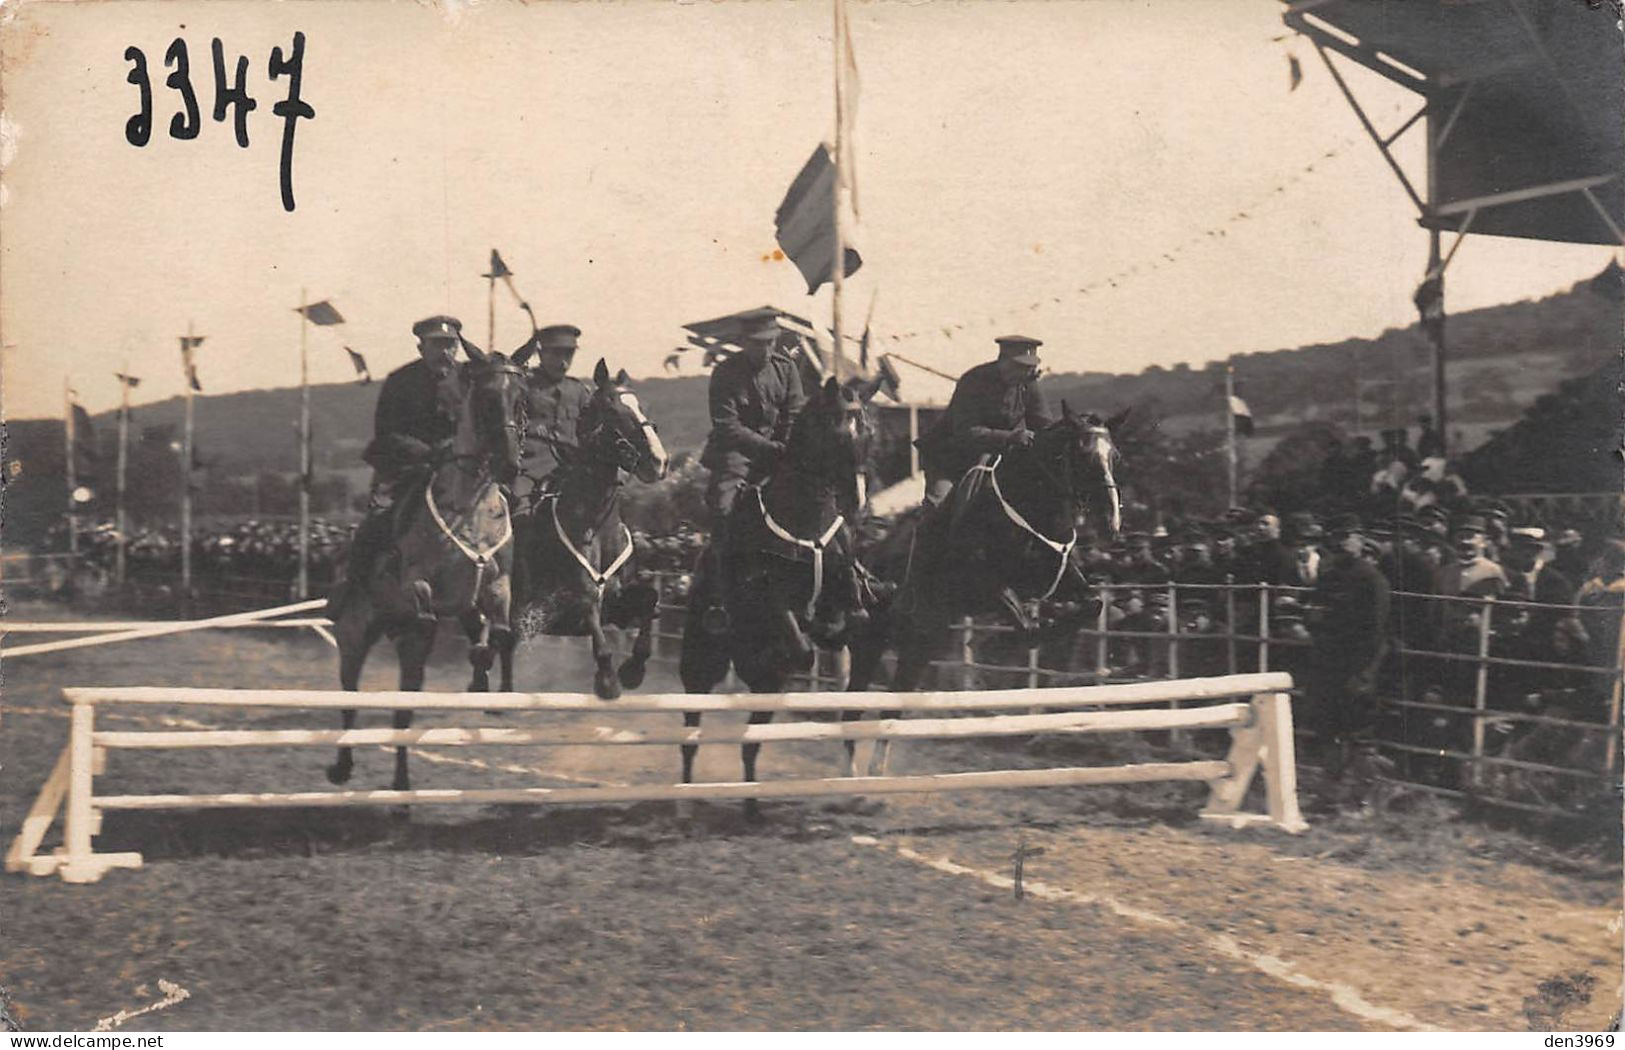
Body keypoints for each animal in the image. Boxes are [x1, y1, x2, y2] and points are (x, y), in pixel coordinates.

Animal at [326, 349, 529, 793]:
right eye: (486, 398)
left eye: (521, 398)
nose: (509, 464)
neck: (471, 507)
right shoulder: (418, 583)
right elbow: (425, 604)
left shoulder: (497, 586)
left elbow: (499, 634)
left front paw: (486, 684)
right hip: (353, 635)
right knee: (349, 696)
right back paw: (342, 767)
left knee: (405, 707)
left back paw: (402, 786)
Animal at [497, 359, 669, 698]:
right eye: (612, 409)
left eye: (639, 405)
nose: (658, 462)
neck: (596, 527)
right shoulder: (569, 608)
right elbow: (596, 630)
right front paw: (608, 681)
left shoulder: (618, 606)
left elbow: (649, 599)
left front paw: (633, 670)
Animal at [676, 378, 877, 815]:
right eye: (836, 431)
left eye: (869, 433)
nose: (856, 502)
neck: (804, 518)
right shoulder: (768, 597)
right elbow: (799, 643)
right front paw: (808, 640)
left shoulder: (843, 583)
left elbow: (854, 618)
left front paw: (830, 630)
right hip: (701, 665)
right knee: (690, 733)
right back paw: (683, 796)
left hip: (766, 690)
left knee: (750, 743)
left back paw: (753, 805)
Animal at [845, 404, 1124, 773]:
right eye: (1081, 453)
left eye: (1115, 456)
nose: (1111, 522)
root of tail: (864, 557)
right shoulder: (985, 583)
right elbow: (1027, 627)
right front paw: (1032, 634)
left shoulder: (1056, 575)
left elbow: (1092, 604)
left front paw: (1058, 626)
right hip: (870, 643)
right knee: (853, 704)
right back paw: (852, 773)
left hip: (921, 645)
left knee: (893, 702)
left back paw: (876, 771)